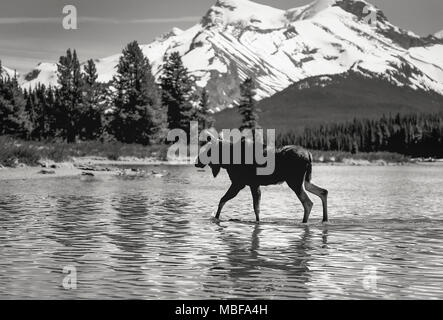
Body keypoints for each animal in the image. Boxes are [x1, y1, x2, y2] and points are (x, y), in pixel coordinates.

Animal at [196, 134, 328, 222]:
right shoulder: (253, 184)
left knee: (308, 203)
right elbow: (257, 208)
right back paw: (324, 219)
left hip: (294, 181)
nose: (196, 162)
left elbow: (222, 200)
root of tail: (309, 155)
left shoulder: (239, 183)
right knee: (323, 191)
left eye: (208, 151)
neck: (227, 160)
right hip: (305, 180)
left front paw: (216, 218)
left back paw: (304, 222)